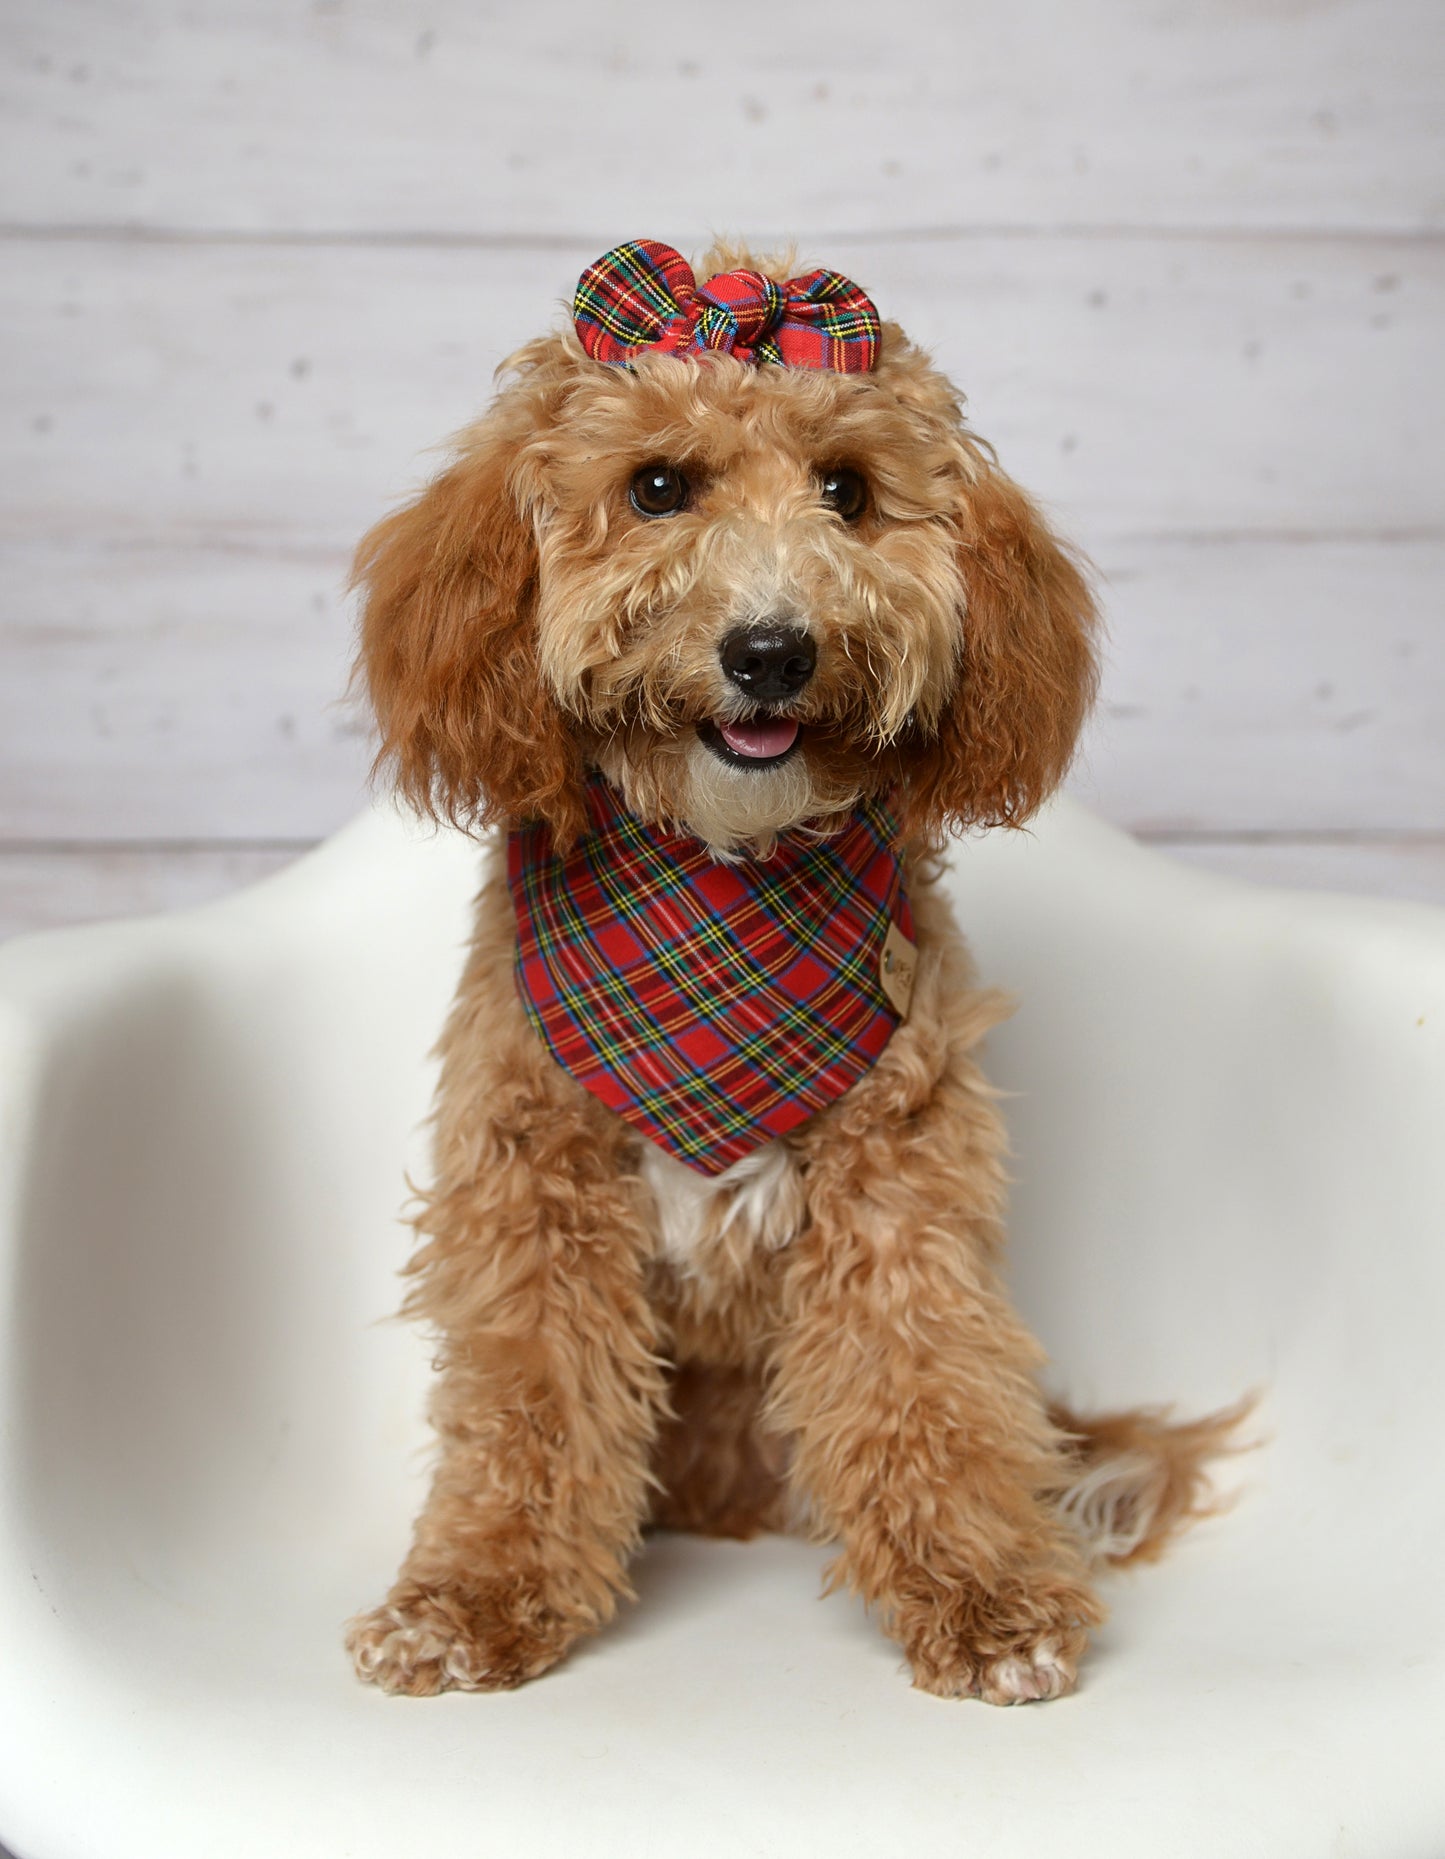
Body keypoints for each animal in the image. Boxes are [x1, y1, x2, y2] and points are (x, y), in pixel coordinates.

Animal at [344, 239, 1234, 1702]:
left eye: (847, 492)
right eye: (657, 486)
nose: (771, 649)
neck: (723, 869)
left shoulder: (900, 1183)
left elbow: (921, 1380)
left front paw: (983, 1595)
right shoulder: (532, 1183)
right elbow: (529, 1402)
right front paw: (472, 1597)